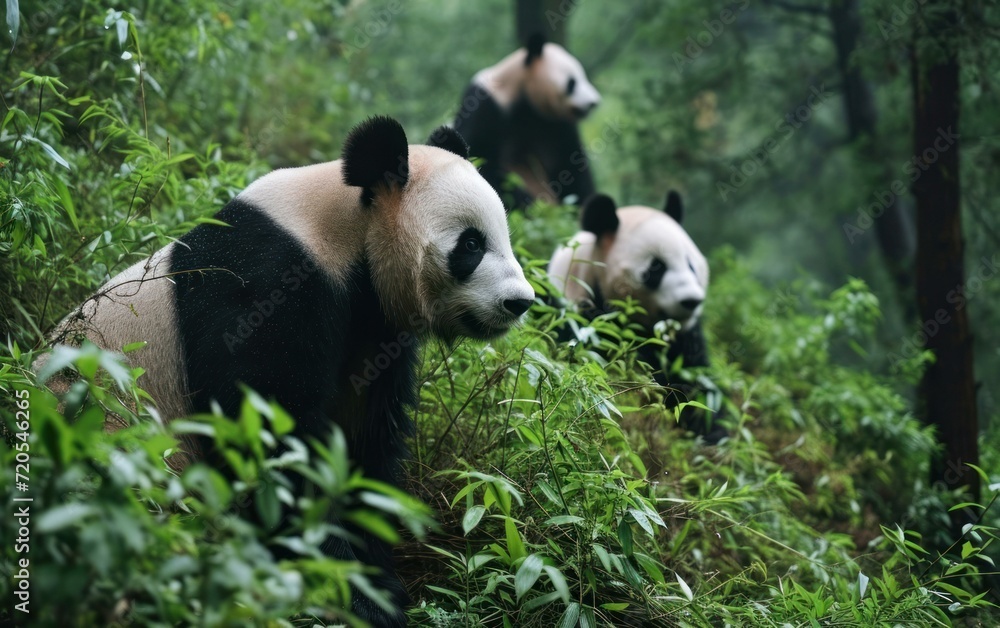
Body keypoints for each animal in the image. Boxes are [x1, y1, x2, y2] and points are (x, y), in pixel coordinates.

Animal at [47, 116, 534, 627]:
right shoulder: (262, 288)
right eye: (472, 244)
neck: (339, 230)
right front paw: (349, 593)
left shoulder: (371, 330)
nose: (520, 302)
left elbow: (364, 442)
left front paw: (376, 582)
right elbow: (270, 438)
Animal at [453, 33, 601, 210]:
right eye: (572, 82)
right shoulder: (485, 105)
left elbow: (569, 165)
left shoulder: (554, 123)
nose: (594, 102)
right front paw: (526, 201)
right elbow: (479, 156)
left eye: (583, 76)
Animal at [547, 191, 726, 442]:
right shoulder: (578, 320)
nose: (691, 300)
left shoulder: (685, 339)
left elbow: (693, 379)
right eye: (657, 267)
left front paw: (711, 431)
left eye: (691, 265)